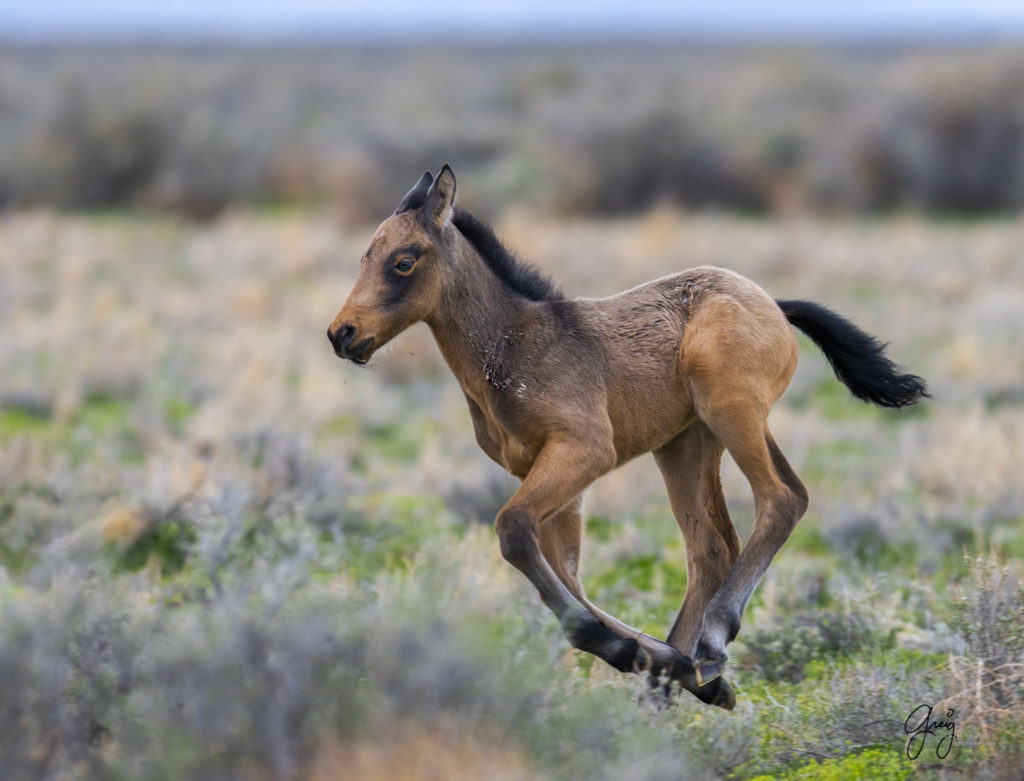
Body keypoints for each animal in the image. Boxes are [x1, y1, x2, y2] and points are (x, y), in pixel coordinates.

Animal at [329, 166, 929, 708]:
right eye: (363, 256)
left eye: (404, 261)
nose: (342, 334)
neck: (516, 345)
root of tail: (776, 306)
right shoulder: (549, 476)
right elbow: (565, 573)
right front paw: (663, 663)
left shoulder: (583, 453)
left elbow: (515, 533)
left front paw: (642, 656)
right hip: (687, 444)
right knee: (712, 546)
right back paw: (682, 678)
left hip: (731, 413)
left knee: (782, 499)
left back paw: (711, 642)